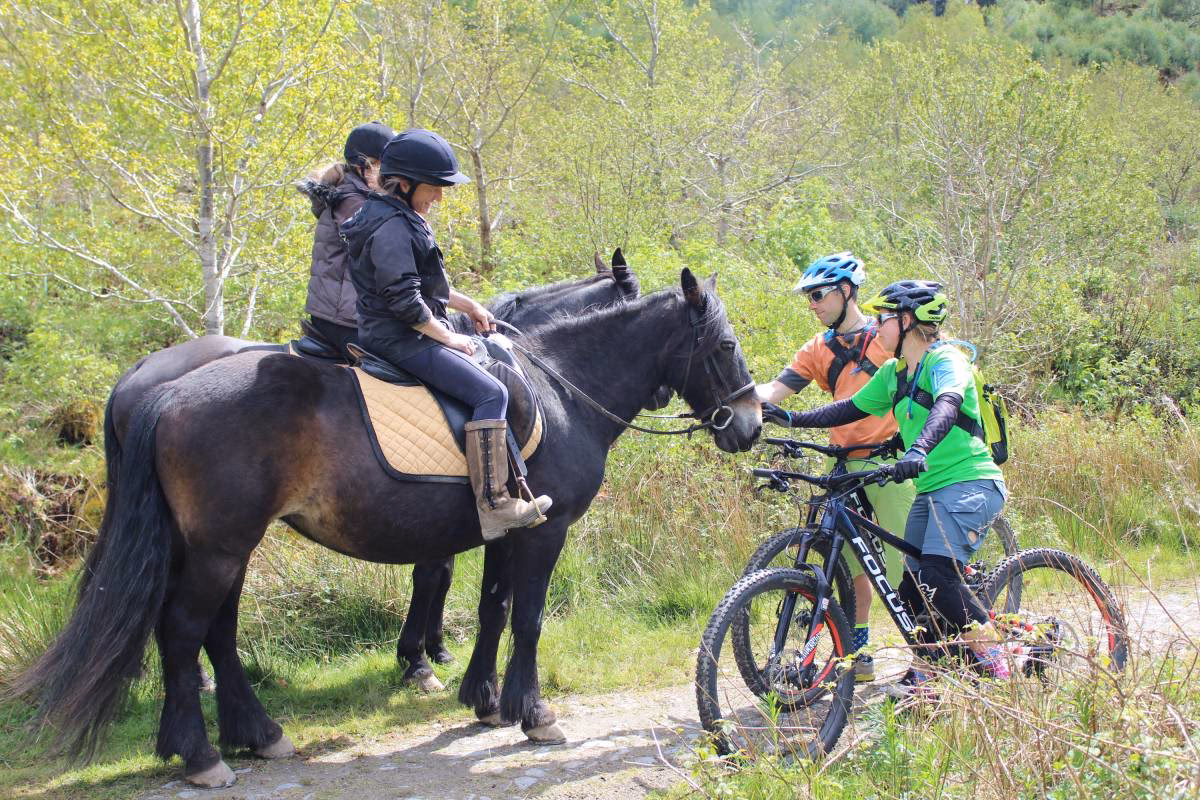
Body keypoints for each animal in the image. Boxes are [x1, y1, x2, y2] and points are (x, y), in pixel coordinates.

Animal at [12, 268, 760, 787]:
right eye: (725, 344)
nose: (751, 426)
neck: (557, 389)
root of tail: (163, 389)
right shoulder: (543, 533)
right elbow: (526, 618)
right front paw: (530, 712)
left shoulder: (506, 529)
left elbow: (492, 608)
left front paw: (483, 698)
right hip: (219, 547)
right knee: (183, 632)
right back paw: (200, 755)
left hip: (223, 547)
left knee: (216, 633)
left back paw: (255, 733)